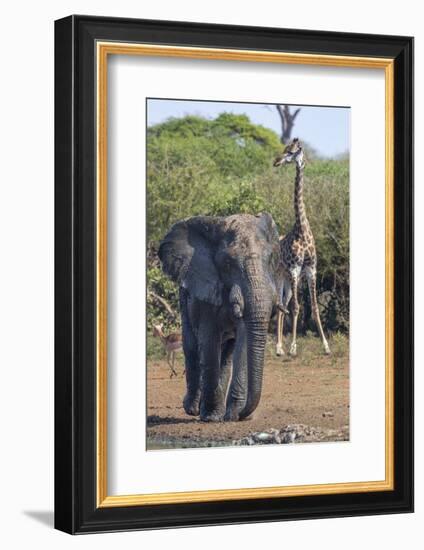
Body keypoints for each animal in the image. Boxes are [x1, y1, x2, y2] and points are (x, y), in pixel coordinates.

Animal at [158, 213, 282, 424]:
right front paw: (211, 417)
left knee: (226, 355)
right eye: (227, 264)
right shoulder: (205, 288)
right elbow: (209, 342)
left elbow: (242, 341)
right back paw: (193, 409)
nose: (244, 415)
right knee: (192, 346)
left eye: (270, 259)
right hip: (184, 299)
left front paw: (233, 416)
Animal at [272, 139, 332, 358]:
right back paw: (279, 348)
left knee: (283, 304)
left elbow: (314, 307)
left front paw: (326, 346)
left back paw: (280, 347)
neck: (302, 230)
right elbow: (297, 307)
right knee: (281, 305)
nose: (276, 161)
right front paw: (293, 347)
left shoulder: (311, 269)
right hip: (280, 276)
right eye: (285, 149)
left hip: (287, 281)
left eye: (292, 151)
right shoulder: (295, 269)